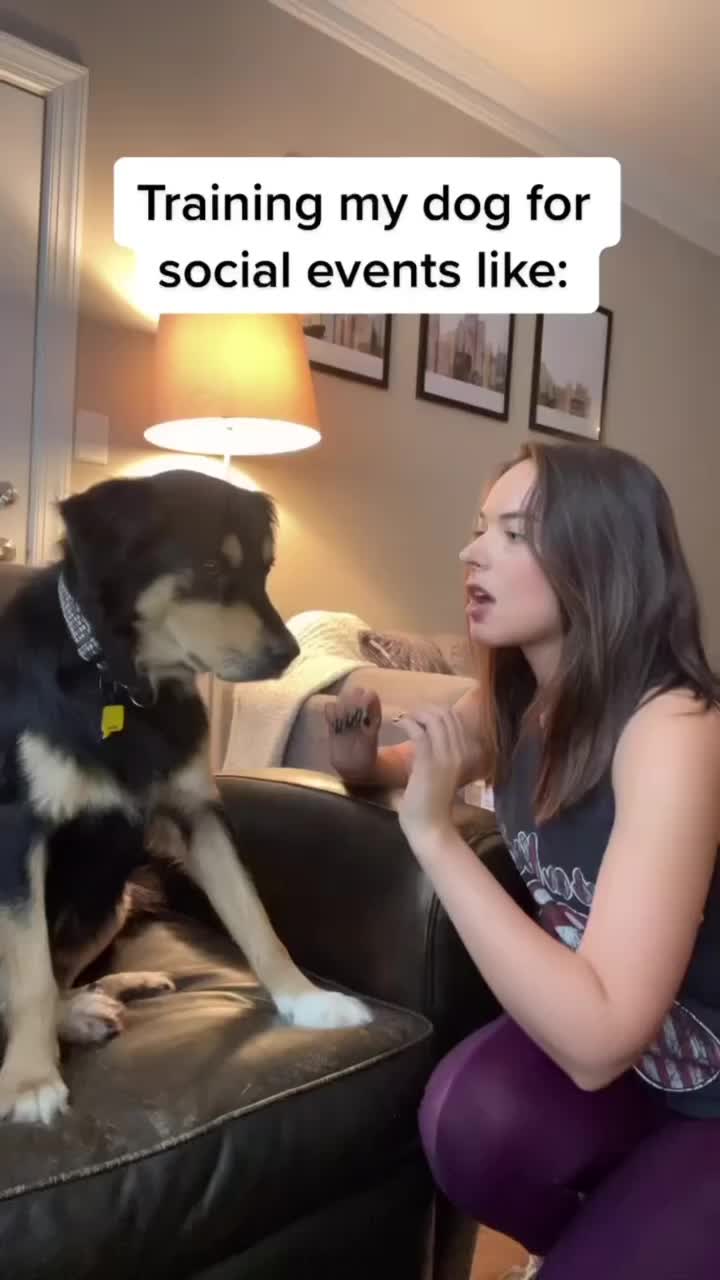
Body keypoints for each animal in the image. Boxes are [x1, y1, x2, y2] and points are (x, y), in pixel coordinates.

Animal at [0, 469, 370, 1125]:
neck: (119, 685)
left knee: (67, 976)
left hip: (112, 899)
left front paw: (307, 1000)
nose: (289, 655)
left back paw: (102, 998)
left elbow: (255, 917)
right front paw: (29, 1080)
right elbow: (28, 973)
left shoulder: (200, 815)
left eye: (265, 569)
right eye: (211, 567)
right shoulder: (20, 831)